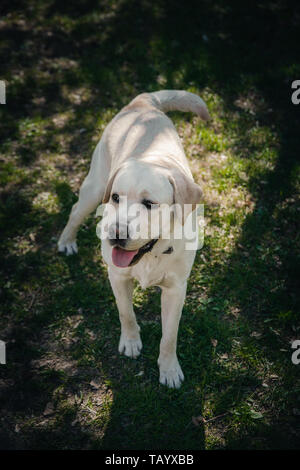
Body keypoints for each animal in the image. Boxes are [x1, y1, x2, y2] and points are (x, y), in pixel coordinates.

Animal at [58, 90, 209, 388]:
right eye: (117, 197)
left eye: (149, 204)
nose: (115, 234)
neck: (152, 252)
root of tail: (144, 101)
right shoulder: (117, 276)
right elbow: (125, 313)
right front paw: (130, 341)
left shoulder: (176, 289)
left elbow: (169, 336)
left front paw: (169, 369)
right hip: (94, 189)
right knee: (75, 210)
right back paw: (67, 240)